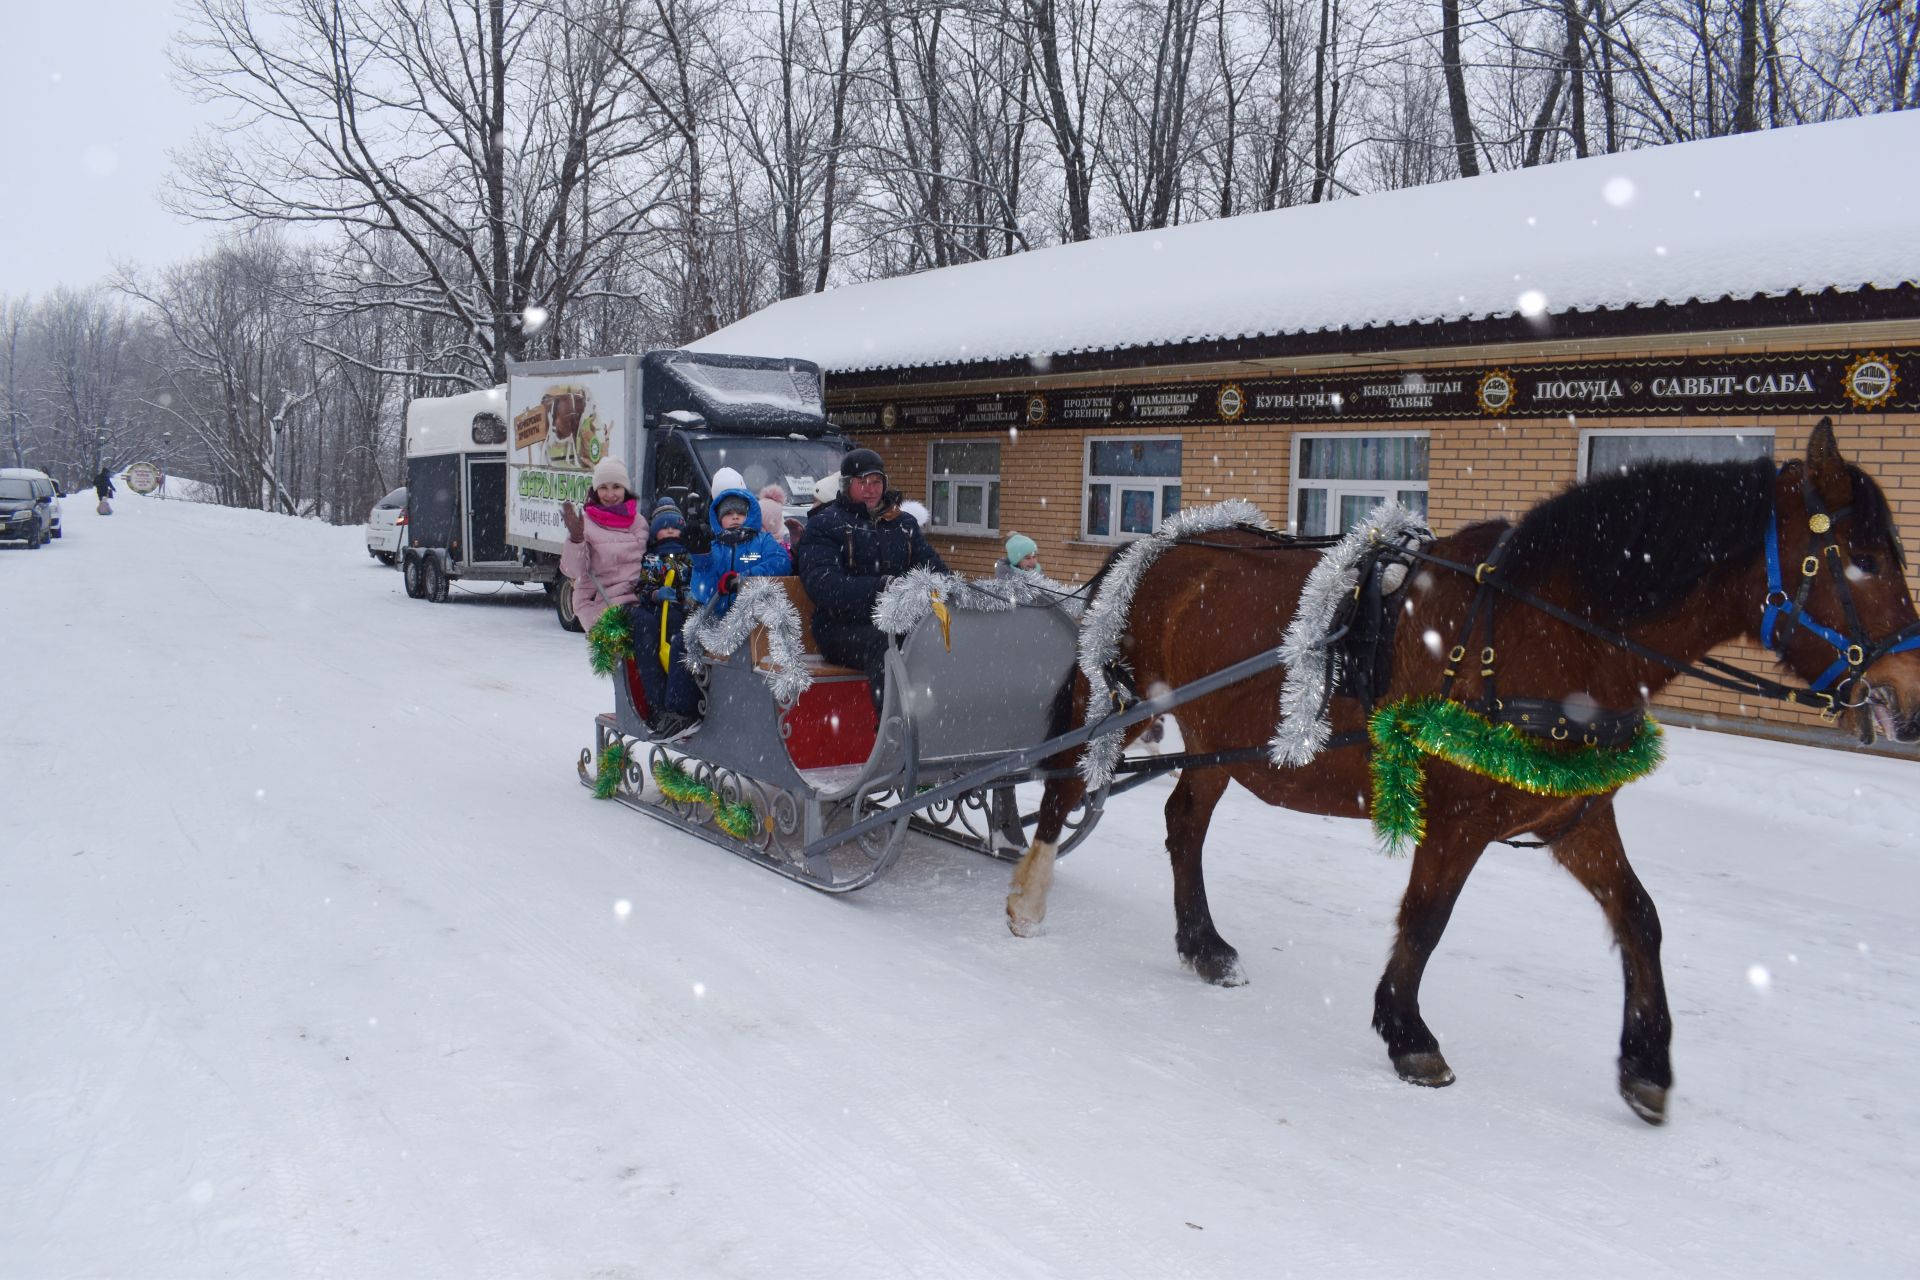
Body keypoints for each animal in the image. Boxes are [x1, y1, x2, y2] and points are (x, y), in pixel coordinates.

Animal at [1013, 420, 1912, 1120]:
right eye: (1862, 559)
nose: (1908, 698)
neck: (1544, 632)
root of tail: (1158, 540)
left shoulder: (1572, 814)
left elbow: (1641, 918)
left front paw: (1646, 1064)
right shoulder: (1457, 818)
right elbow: (1426, 920)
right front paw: (1408, 1035)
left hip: (1210, 734)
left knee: (1183, 824)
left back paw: (1203, 946)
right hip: (1121, 702)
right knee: (1063, 787)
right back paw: (1027, 897)